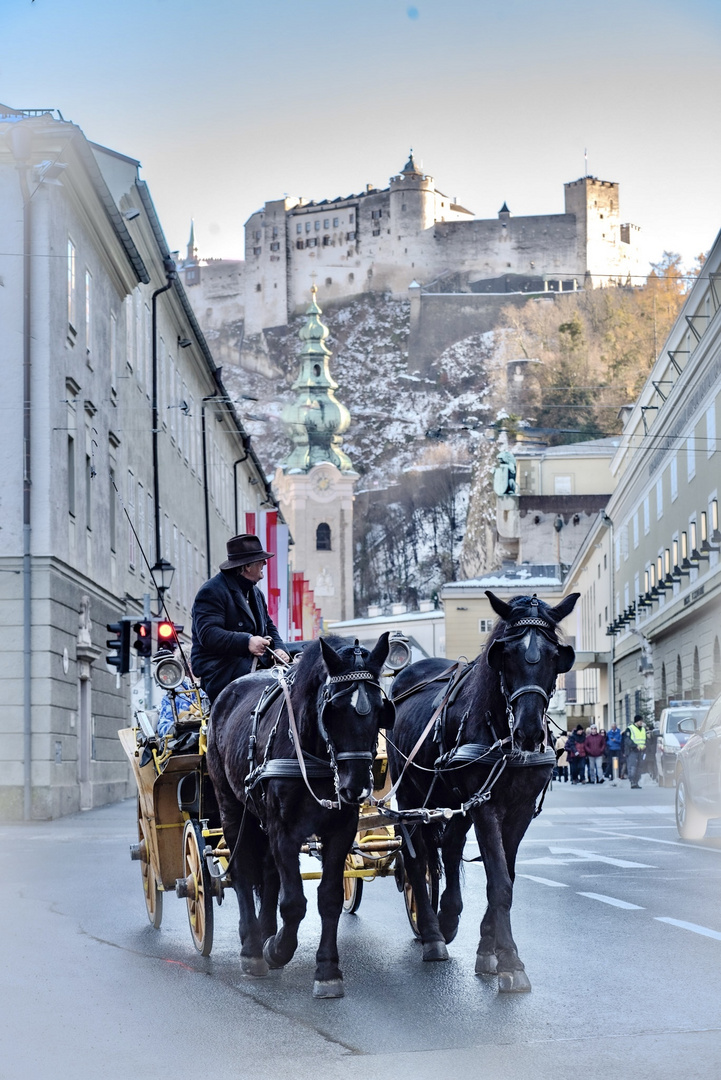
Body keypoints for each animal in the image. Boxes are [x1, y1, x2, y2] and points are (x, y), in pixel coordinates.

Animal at [205, 635, 390, 997]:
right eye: (332, 709)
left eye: (380, 708)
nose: (356, 787)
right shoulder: (284, 831)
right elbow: (293, 902)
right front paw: (277, 950)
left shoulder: (341, 830)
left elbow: (328, 898)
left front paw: (327, 970)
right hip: (232, 808)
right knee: (243, 871)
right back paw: (253, 947)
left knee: (267, 872)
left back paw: (265, 931)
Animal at [386, 596, 578, 989]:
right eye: (506, 654)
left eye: (556, 655)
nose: (529, 732)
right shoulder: (486, 807)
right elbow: (499, 882)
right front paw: (510, 961)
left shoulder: (519, 809)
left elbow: (505, 875)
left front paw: (489, 950)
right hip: (411, 797)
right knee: (416, 858)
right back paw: (432, 934)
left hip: (452, 801)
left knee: (448, 847)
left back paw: (448, 916)